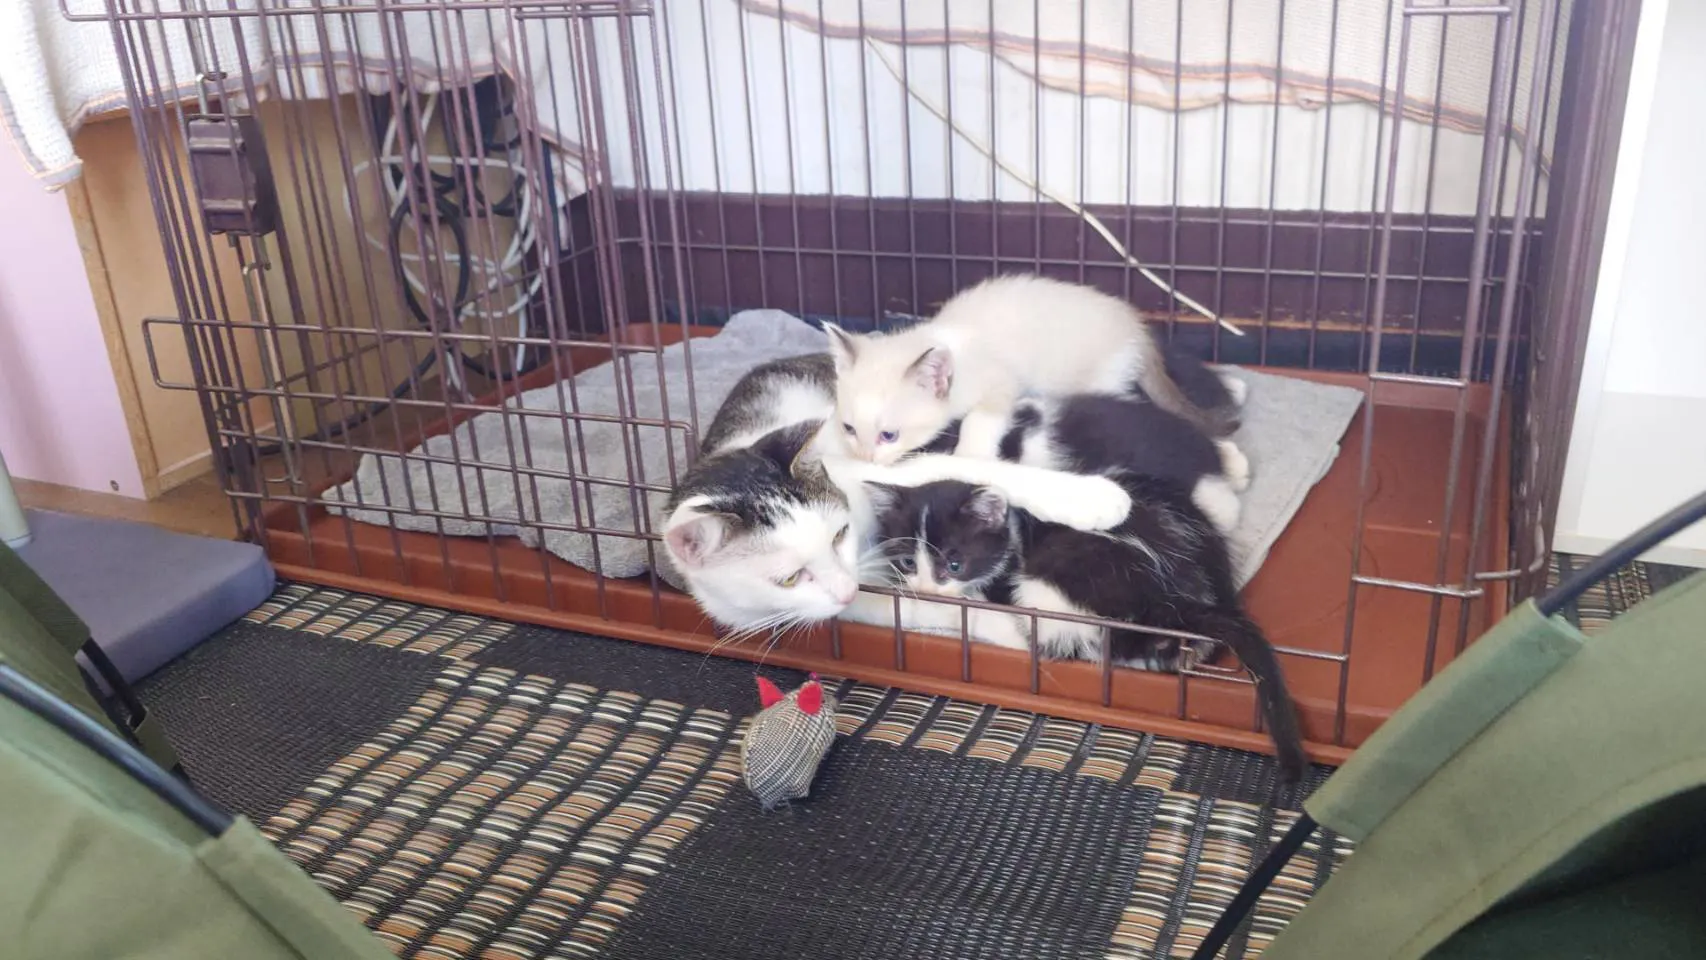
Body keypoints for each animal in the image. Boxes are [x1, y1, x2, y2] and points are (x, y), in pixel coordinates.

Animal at [661, 353, 1138, 632]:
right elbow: (905, 610)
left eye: (839, 534)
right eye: (790, 578)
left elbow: (964, 468)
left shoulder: (872, 464)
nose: (845, 585)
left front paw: (1092, 499)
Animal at [822, 274, 1242, 465]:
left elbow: (980, 418)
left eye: (889, 435)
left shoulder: (1000, 381)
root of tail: (1138, 330)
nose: (863, 460)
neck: (942, 334)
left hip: (1097, 378)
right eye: (849, 429)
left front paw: (969, 455)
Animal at [867, 475, 1307, 781]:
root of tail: (1163, 595)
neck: (1013, 531)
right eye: (908, 562)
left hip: (1058, 580)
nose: (928, 589)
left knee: (1044, 638)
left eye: (955, 563)